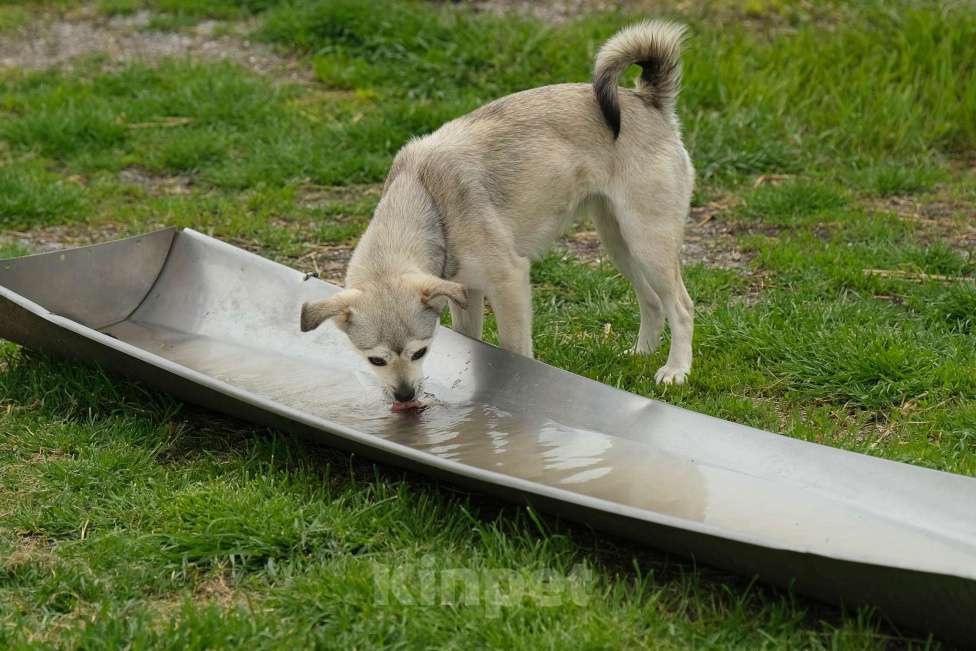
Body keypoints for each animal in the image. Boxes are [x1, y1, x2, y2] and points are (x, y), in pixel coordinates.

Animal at [304, 21, 692, 412]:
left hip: (648, 245)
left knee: (682, 307)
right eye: (375, 360)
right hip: (619, 244)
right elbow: (468, 336)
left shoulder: (510, 282)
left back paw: (676, 370)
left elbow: (515, 349)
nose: (405, 396)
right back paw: (642, 353)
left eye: (420, 353)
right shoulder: (466, 292)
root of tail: (647, 100)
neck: (429, 202)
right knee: (653, 301)